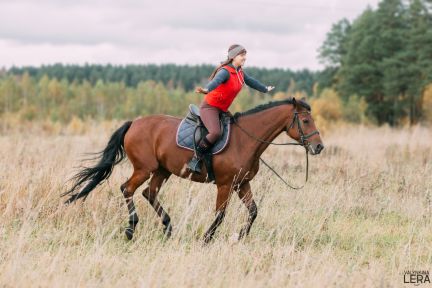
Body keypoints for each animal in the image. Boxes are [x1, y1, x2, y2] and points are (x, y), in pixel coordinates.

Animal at [61, 97, 324, 243]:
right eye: (306, 121)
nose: (319, 147)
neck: (245, 139)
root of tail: (134, 123)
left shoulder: (242, 183)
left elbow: (253, 212)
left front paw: (239, 237)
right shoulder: (225, 184)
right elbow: (220, 215)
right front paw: (207, 239)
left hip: (162, 171)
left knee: (149, 193)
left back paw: (168, 228)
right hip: (144, 168)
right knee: (127, 189)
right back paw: (131, 229)